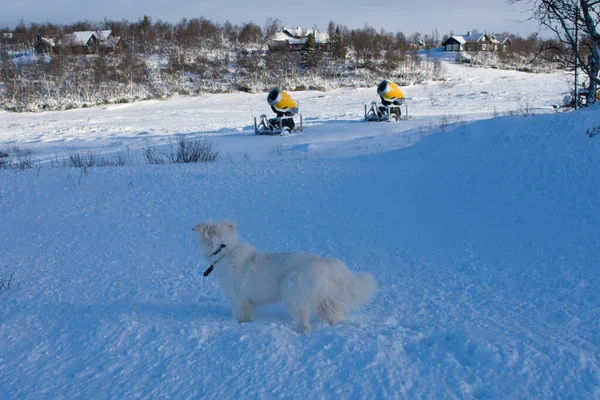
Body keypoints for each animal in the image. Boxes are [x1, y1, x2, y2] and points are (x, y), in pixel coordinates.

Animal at [192, 220, 376, 332]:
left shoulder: (239, 301)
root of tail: (323, 262)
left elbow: (240, 318)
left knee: (306, 325)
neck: (224, 251)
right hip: (324, 303)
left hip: (292, 298)